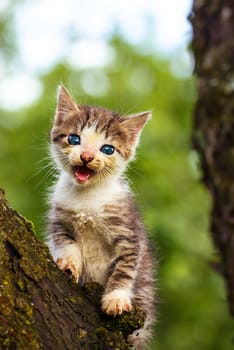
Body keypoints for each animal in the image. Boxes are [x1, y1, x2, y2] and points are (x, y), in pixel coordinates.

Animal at [46, 85, 155, 350]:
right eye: (74, 139)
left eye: (107, 149)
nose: (86, 156)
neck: (87, 197)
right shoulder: (59, 221)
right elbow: (65, 243)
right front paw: (69, 263)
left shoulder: (128, 231)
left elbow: (125, 267)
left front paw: (115, 298)